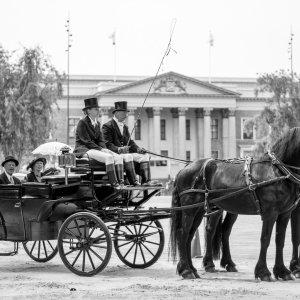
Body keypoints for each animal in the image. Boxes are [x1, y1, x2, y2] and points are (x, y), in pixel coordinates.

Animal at [170, 127, 300, 280]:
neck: (277, 171)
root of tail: (184, 169)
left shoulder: (285, 213)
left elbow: (280, 240)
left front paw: (282, 271)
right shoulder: (270, 213)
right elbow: (265, 239)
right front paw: (263, 272)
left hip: (200, 210)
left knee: (191, 235)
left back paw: (193, 269)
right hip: (190, 210)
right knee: (183, 233)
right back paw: (187, 270)